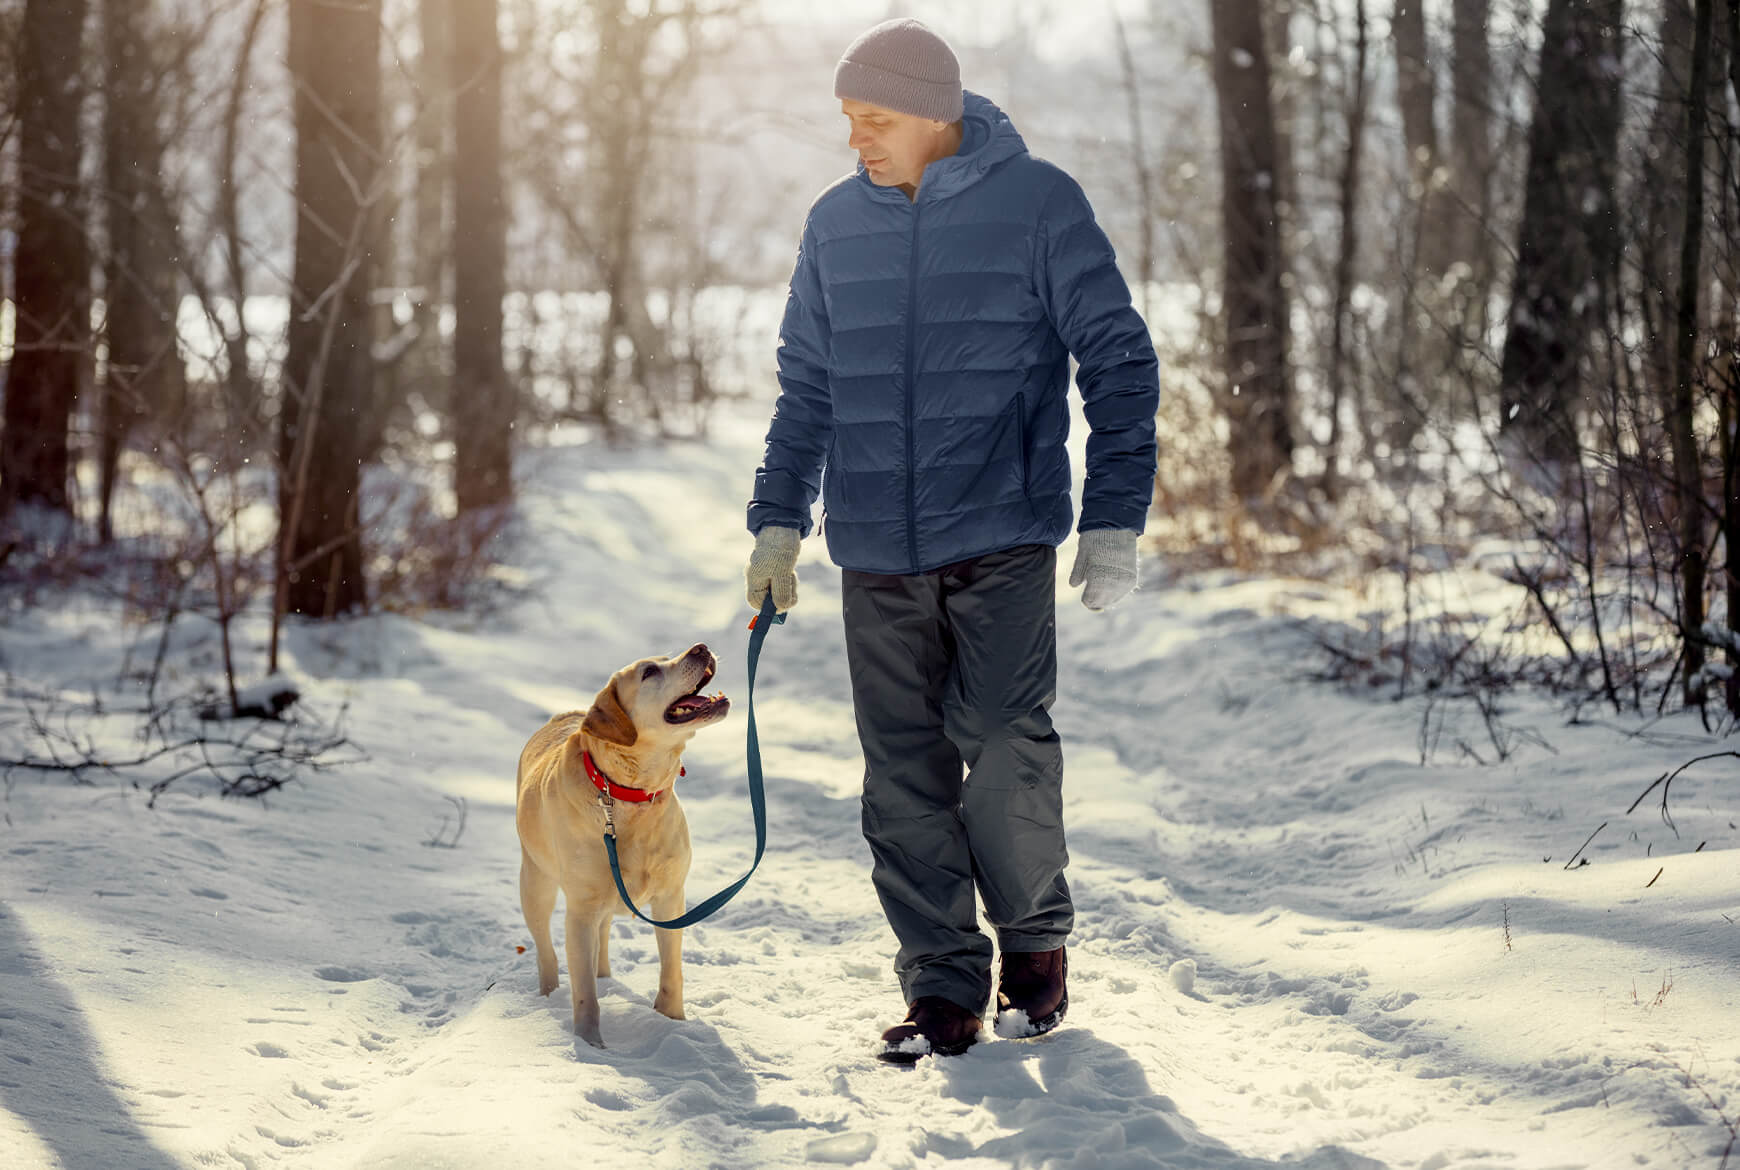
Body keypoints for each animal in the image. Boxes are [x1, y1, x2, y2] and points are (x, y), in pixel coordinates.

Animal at [518, 644, 730, 1044]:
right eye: (649, 673)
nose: (701, 647)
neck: (630, 795)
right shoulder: (580, 911)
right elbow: (584, 992)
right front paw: (589, 1045)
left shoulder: (670, 897)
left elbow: (671, 970)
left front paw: (674, 1022)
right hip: (536, 883)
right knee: (546, 951)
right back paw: (549, 995)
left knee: (601, 940)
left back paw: (605, 978)